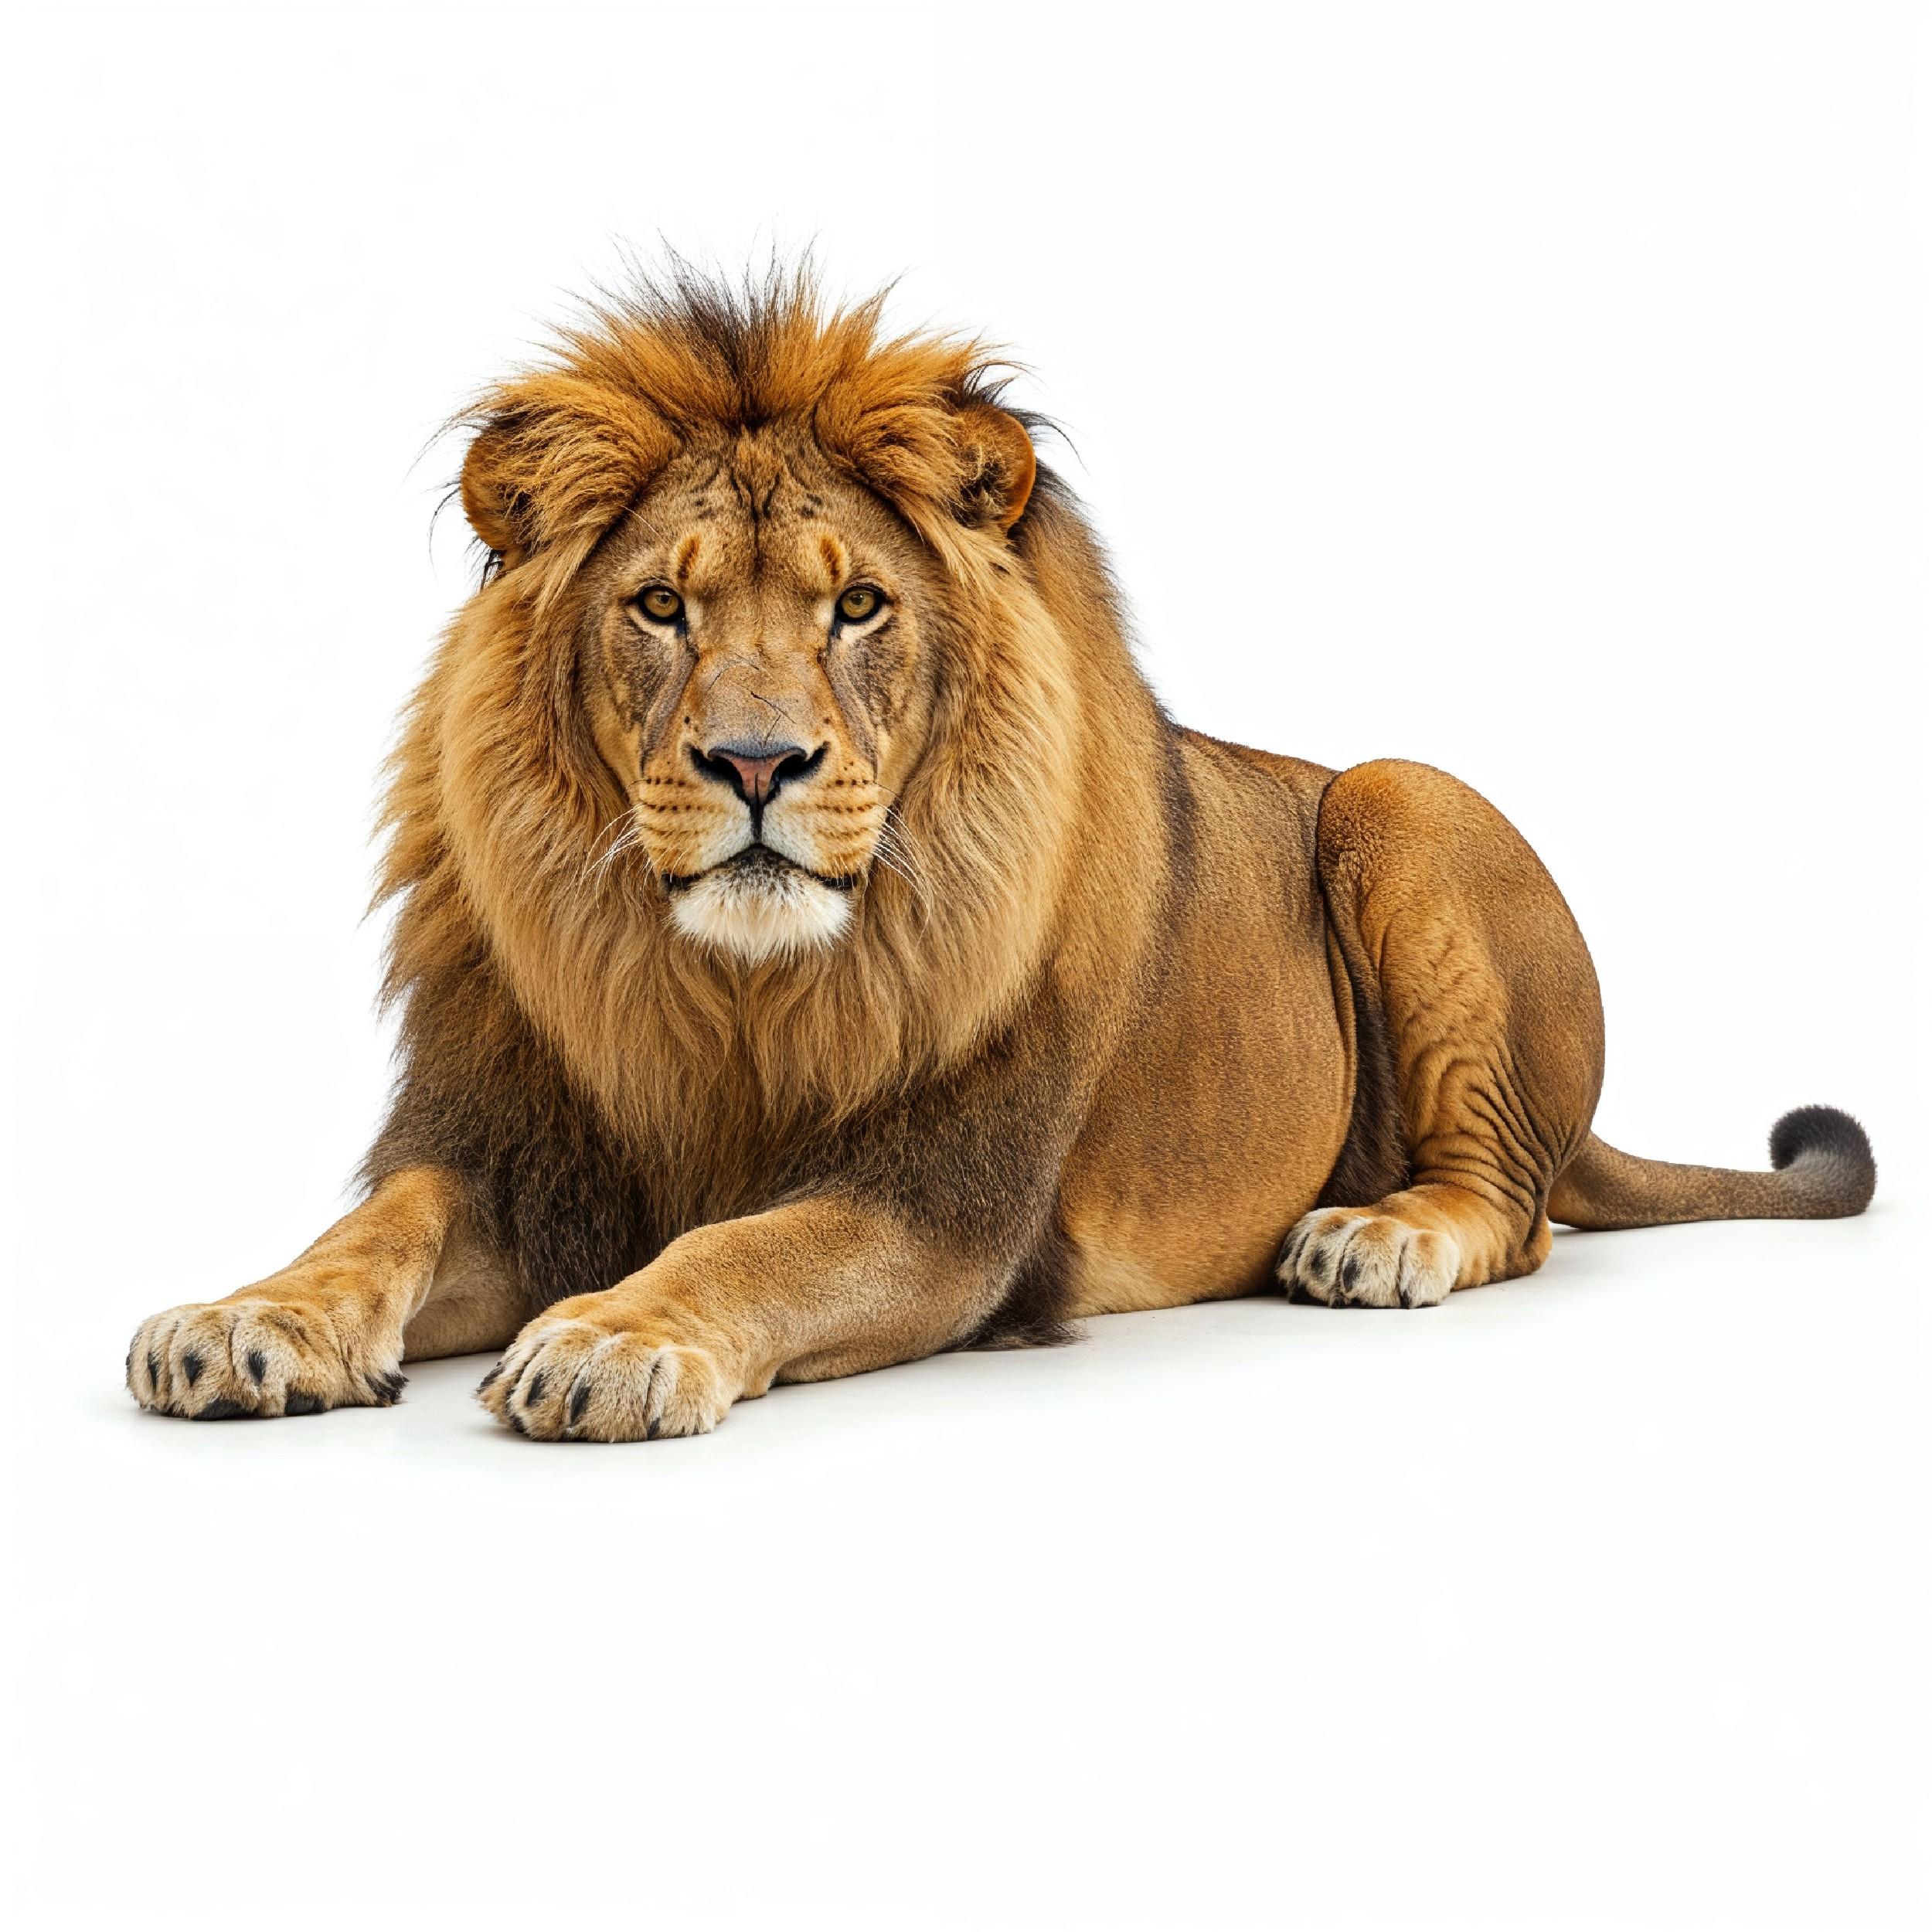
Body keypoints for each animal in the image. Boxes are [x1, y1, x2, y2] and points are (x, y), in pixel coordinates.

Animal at [125, 267, 1876, 1440]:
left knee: (1514, 1205)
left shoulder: (944, 1204)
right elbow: (373, 1230)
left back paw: (1376, 1235)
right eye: (661, 606)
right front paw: (241, 1320)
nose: (754, 763)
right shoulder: (513, 1153)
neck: (726, 994)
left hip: (1403, 798)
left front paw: (610, 1340)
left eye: (854, 606)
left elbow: (745, 1245)